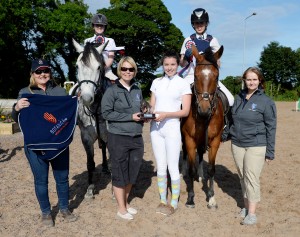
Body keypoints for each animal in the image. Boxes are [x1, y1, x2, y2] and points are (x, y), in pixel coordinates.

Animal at [180, 44, 225, 207]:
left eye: (216, 76)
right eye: (195, 76)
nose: (204, 110)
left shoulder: (215, 141)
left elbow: (211, 169)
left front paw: (211, 198)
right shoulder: (189, 139)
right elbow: (191, 168)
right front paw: (190, 198)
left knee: (200, 155)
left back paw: (200, 176)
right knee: (186, 155)